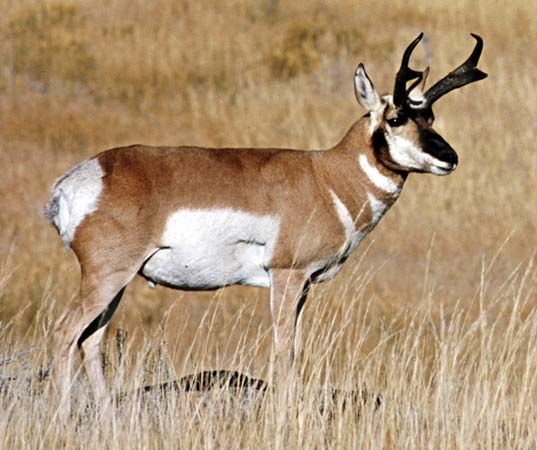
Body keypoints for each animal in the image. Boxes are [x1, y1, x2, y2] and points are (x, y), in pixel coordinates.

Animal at [44, 31, 484, 412]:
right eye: (395, 119)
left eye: (430, 117)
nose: (450, 157)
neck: (327, 177)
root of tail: (75, 180)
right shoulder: (286, 276)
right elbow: (284, 348)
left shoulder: (304, 286)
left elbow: (296, 348)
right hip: (106, 276)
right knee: (66, 331)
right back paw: (63, 417)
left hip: (117, 283)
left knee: (91, 340)